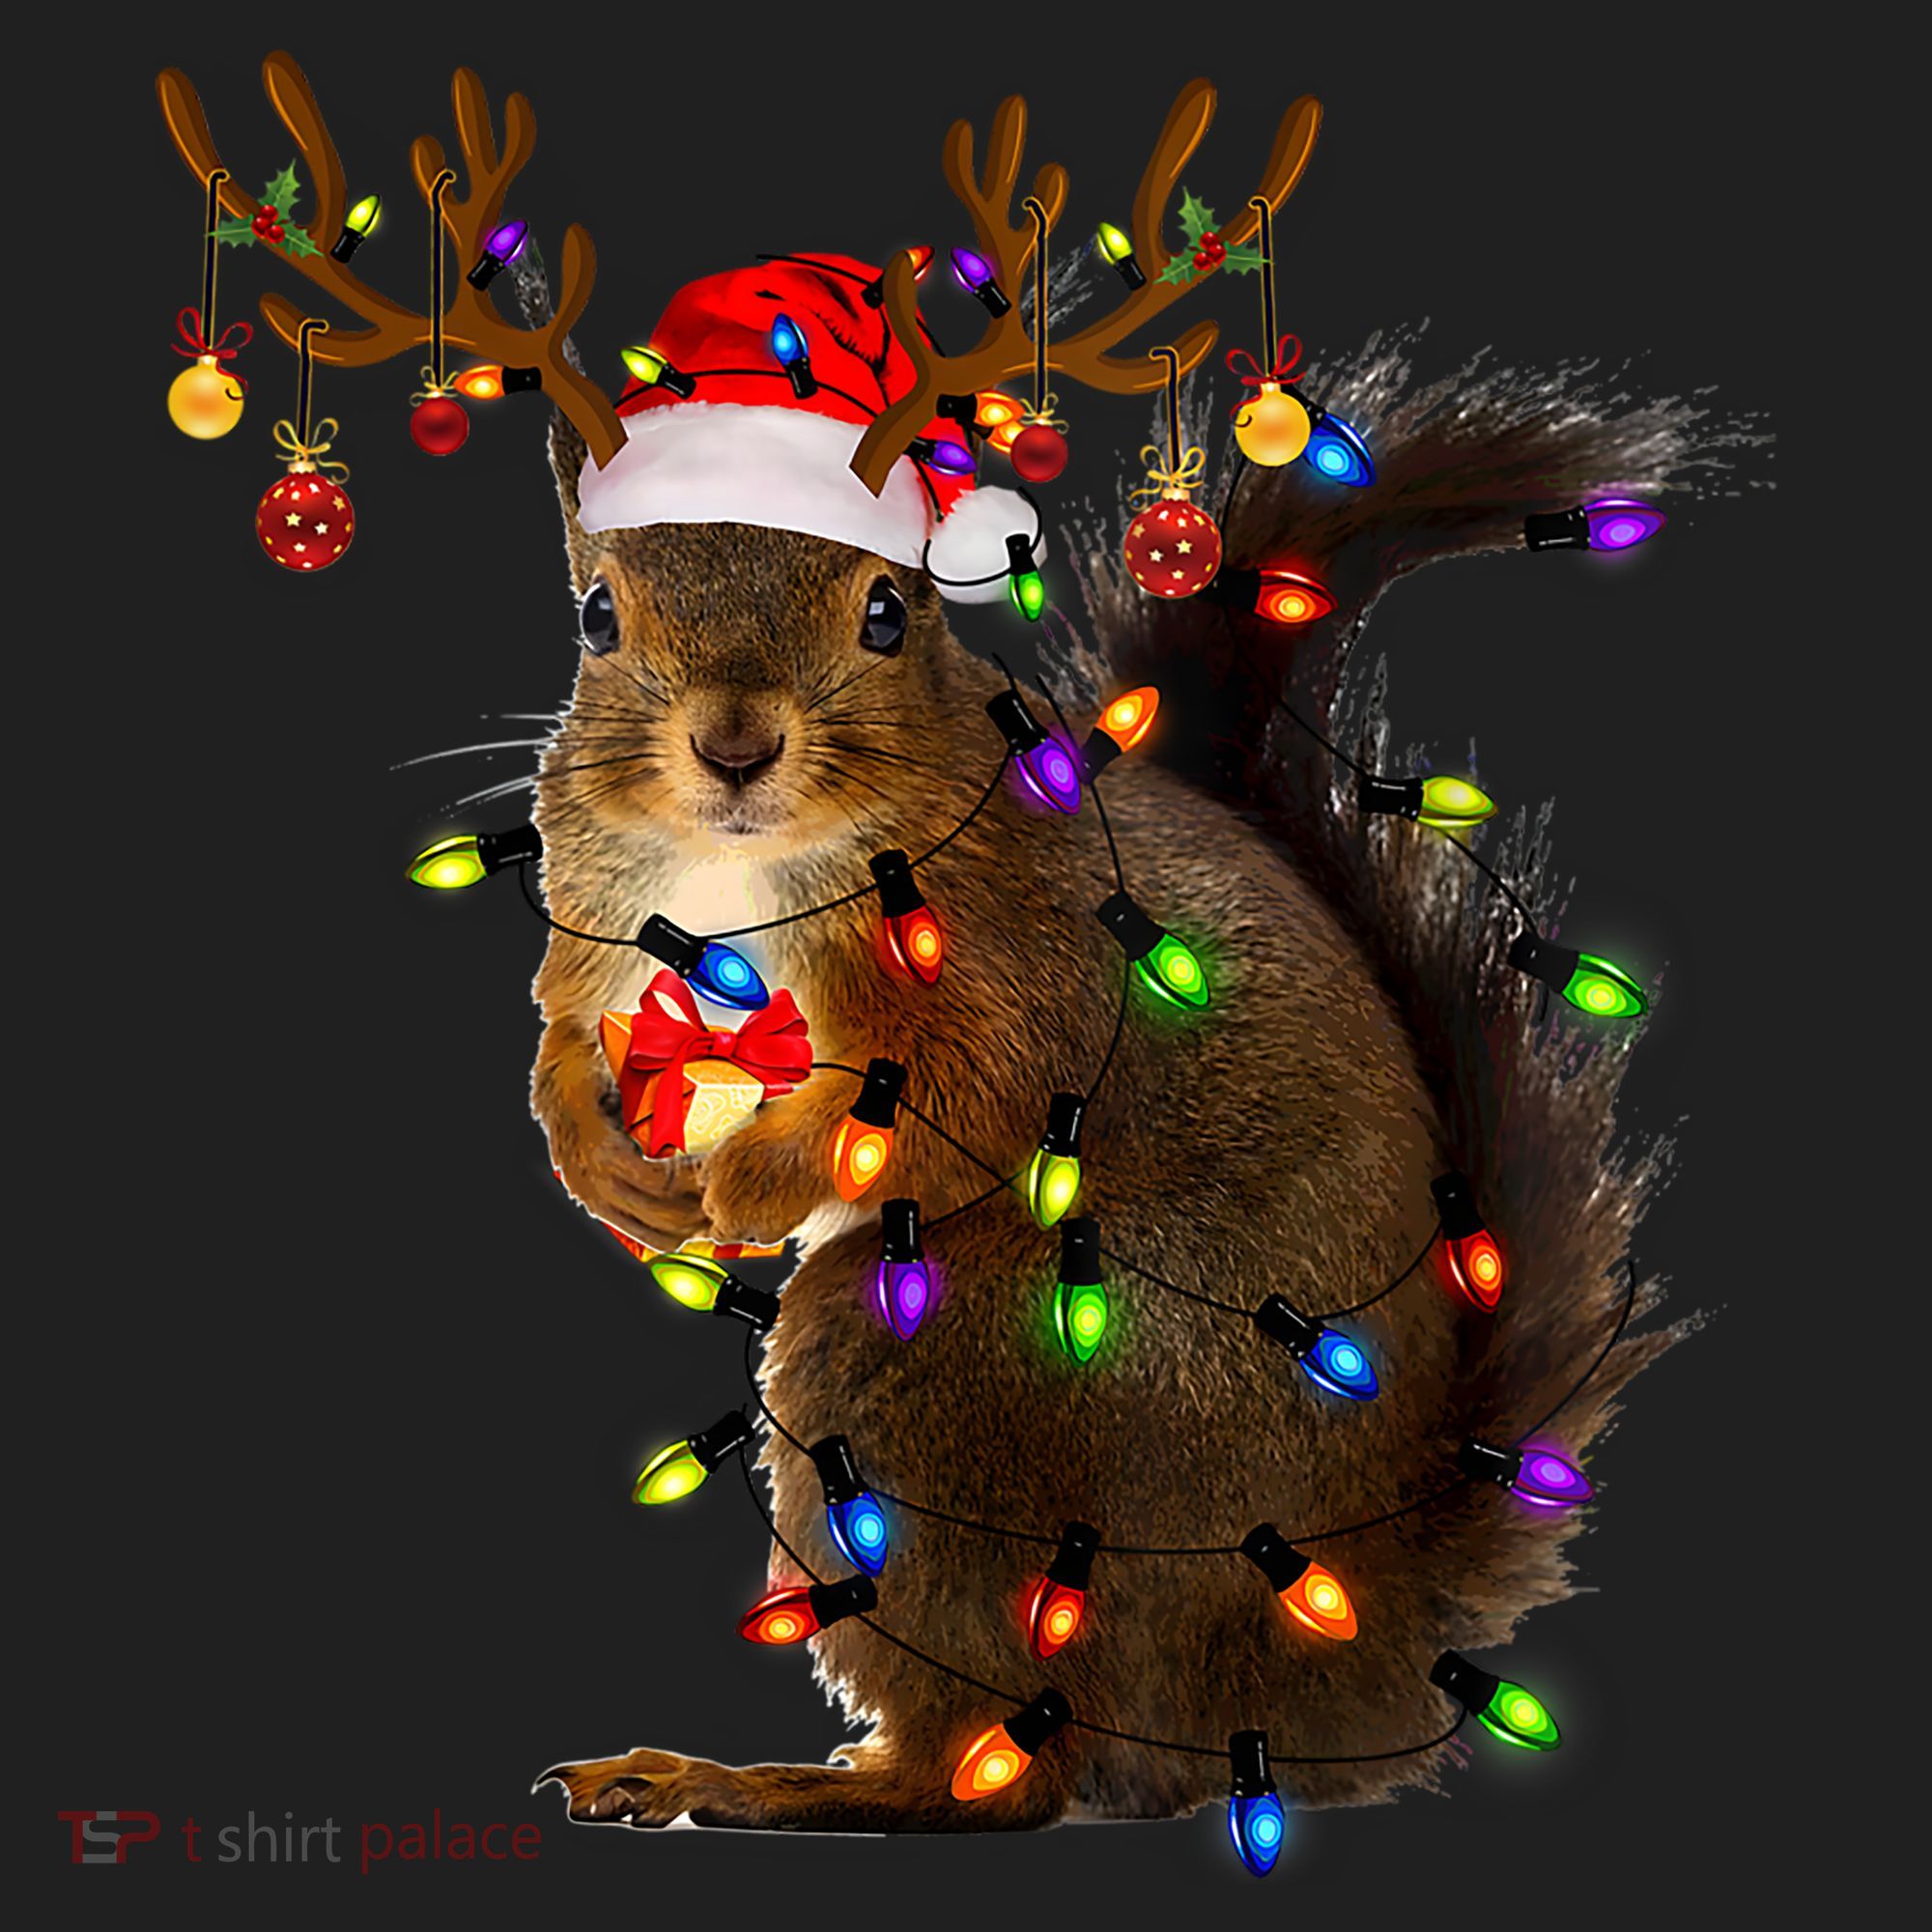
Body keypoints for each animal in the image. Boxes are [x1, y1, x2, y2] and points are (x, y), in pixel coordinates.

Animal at [527, 337, 1710, 1833]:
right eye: (594, 616)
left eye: (887, 615)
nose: (734, 750)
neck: (743, 873)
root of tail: (1308, 1671)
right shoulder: (599, 913)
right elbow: (563, 1034)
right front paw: (600, 1162)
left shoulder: (1015, 953)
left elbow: (960, 1102)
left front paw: (750, 1175)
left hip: (936, 1382)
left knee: (1000, 1781)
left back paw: (746, 1780)